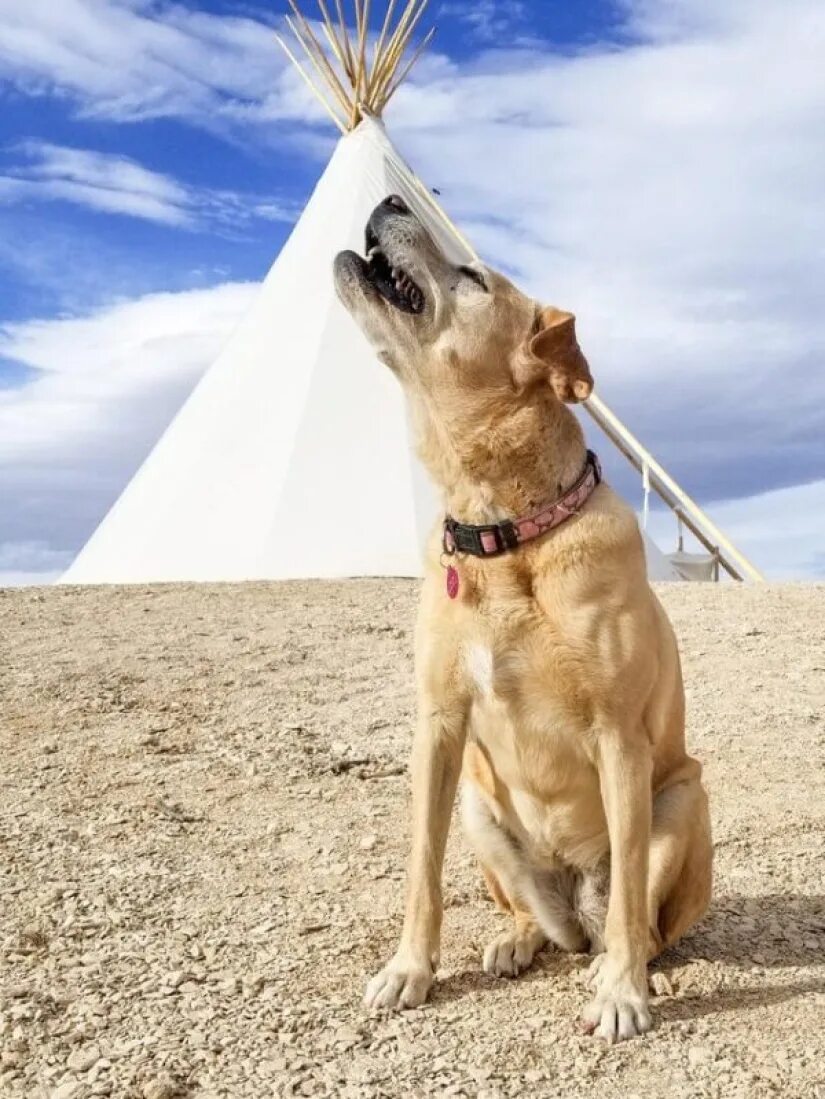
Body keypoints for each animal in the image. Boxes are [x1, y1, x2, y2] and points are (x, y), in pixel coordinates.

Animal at [331, 193, 711, 1041]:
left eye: (473, 276)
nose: (391, 197)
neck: (503, 530)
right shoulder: (438, 725)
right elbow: (421, 869)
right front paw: (409, 968)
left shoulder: (618, 735)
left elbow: (630, 894)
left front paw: (622, 994)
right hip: (480, 809)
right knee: (548, 922)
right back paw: (517, 938)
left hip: (682, 795)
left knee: (635, 918)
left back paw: (624, 967)